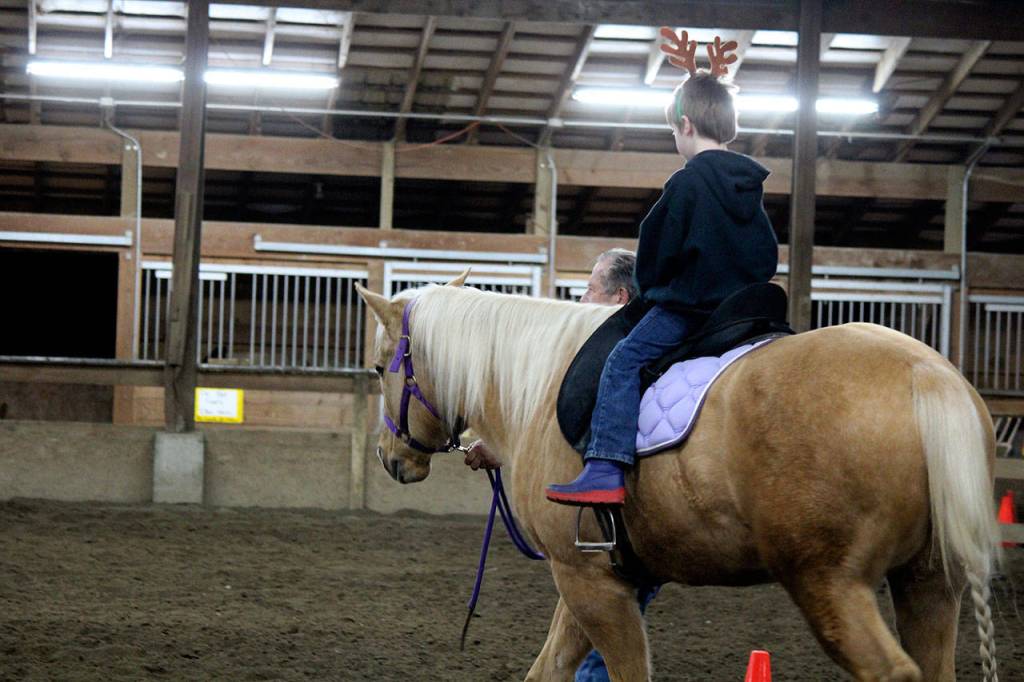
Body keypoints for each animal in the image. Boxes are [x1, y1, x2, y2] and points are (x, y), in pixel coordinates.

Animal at [354, 274, 1000, 682]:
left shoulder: (587, 581)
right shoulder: (600, 578)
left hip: (830, 584)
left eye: (381, 366)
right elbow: (549, 670)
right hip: (929, 582)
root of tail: (924, 373)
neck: (541, 386)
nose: (390, 458)